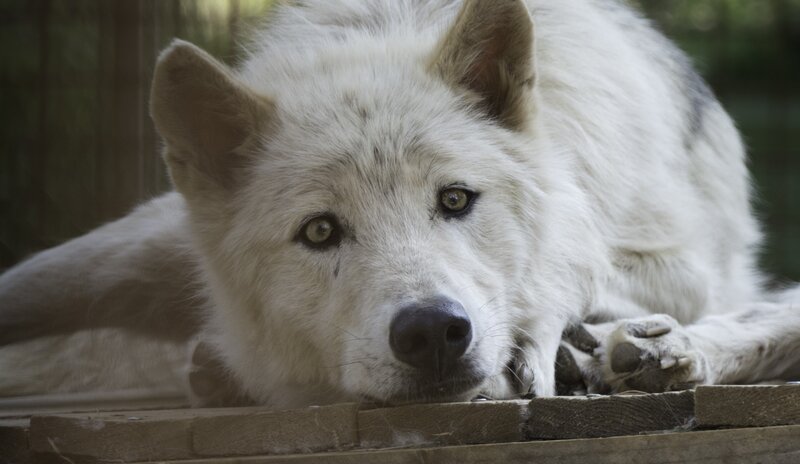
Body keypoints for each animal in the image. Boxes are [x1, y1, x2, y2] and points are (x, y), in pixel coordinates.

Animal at [1, 0, 799, 408]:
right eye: (320, 231)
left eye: (456, 199)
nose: (431, 333)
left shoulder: (687, 265)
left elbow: (576, 261)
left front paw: (538, 341)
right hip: (135, 251)